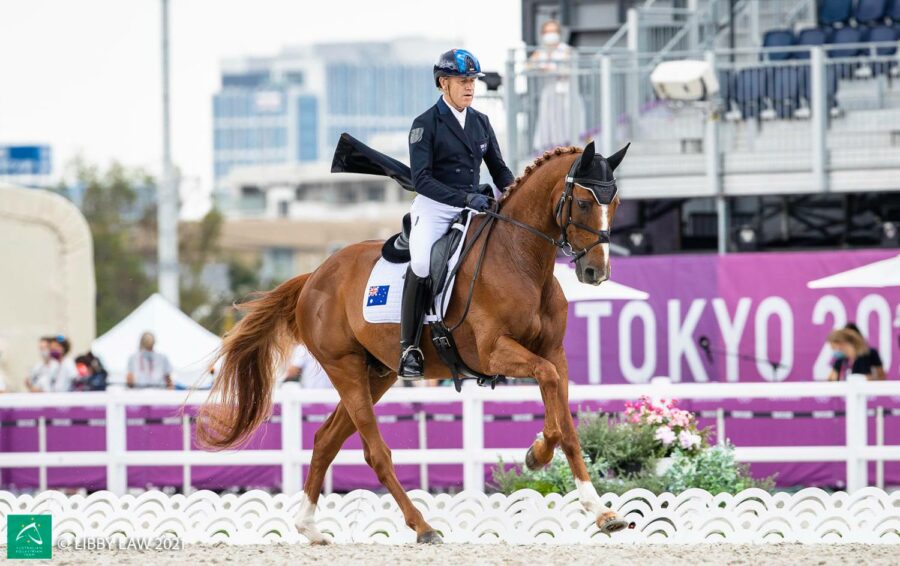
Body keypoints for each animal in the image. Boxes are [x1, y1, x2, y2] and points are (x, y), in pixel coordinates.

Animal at [198, 140, 630, 544]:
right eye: (582, 202)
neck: (520, 259)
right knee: (374, 452)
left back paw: (309, 527)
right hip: (345, 368)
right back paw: (422, 527)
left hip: (378, 374)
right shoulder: (494, 352)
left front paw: (601, 511)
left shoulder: (554, 353)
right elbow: (547, 382)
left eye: (616, 202)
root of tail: (313, 277)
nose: (596, 272)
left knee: (325, 440)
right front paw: (537, 454)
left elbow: (567, 424)